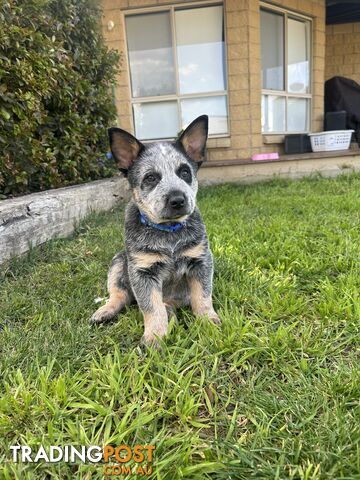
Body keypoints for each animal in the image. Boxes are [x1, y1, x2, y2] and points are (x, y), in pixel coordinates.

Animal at [90, 114, 219, 344]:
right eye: (150, 177)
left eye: (185, 172)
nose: (178, 200)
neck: (169, 234)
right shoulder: (142, 271)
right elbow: (151, 307)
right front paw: (154, 337)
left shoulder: (201, 260)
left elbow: (203, 296)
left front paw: (208, 321)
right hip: (118, 261)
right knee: (120, 295)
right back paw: (105, 311)